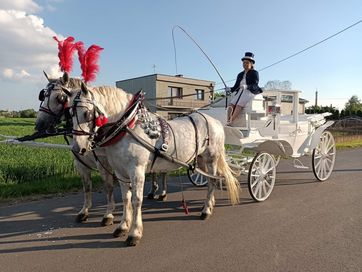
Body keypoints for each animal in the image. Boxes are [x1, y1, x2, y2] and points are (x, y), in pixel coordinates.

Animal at [70, 83, 240, 246]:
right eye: (70, 113)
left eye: (86, 113)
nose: (77, 148)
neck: (127, 126)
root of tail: (215, 121)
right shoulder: (120, 172)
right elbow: (126, 198)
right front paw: (123, 226)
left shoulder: (136, 170)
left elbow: (136, 200)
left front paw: (134, 233)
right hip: (201, 159)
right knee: (211, 179)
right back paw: (209, 205)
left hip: (211, 158)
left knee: (212, 181)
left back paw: (206, 211)